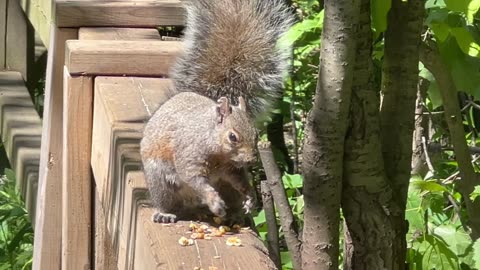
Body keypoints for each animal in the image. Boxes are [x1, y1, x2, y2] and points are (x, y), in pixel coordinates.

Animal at [139, 0, 292, 224]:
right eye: (232, 137)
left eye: (256, 135)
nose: (251, 160)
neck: (218, 152)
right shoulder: (189, 154)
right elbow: (194, 178)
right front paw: (214, 200)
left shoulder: (231, 169)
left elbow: (240, 181)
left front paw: (250, 198)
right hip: (160, 179)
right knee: (166, 198)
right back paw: (165, 213)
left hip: (225, 187)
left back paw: (235, 215)